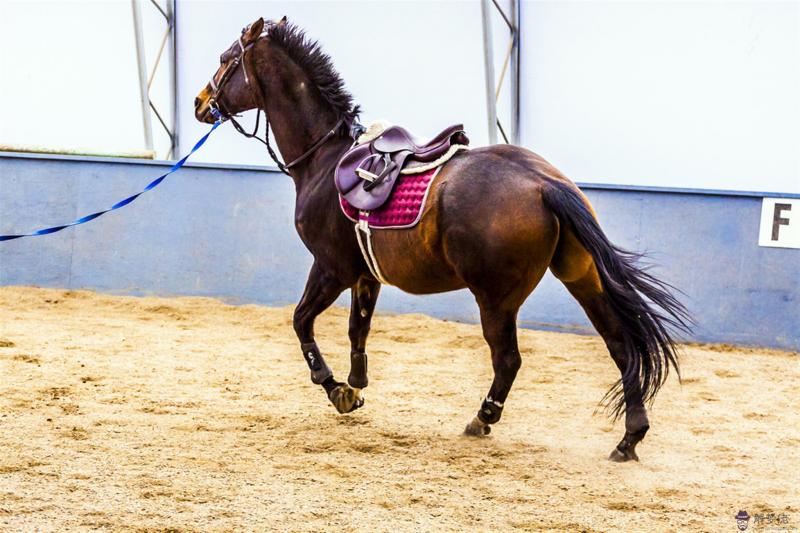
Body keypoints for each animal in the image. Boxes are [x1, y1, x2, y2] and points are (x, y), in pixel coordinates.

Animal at [193, 17, 691, 462]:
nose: (201, 102)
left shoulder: (332, 268)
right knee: (621, 346)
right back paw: (629, 438)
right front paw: (356, 385)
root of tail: (544, 182)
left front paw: (336, 388)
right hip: (581, 277)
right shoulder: (364, 276)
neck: (325, 159)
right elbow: (358, 329)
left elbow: (301, 322)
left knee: (509, 360)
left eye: (225, 59)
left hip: (495, 299)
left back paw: (482, 419)